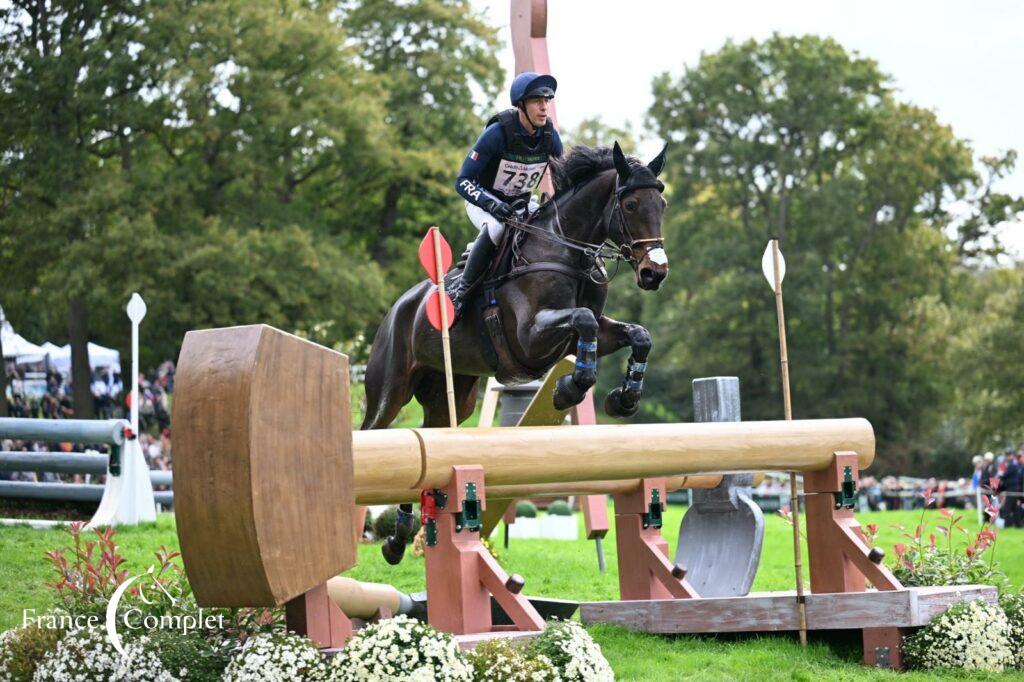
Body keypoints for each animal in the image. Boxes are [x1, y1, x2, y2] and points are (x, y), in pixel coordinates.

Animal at [362, 142, 671, 436]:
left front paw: (624, 399)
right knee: (372, 426)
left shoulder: (584, 334)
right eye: (630, 205)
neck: (566, 250)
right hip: (389, 393)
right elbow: (583, 319)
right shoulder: (529, 337)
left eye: (663, 204)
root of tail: (396, 308)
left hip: (451, 391)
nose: (655, 273)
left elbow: (638, 335)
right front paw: (566, 391)